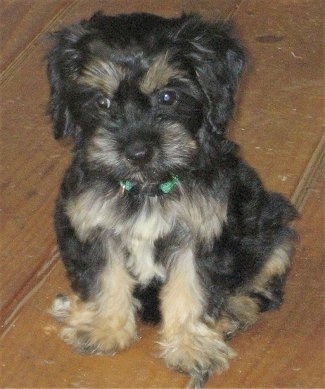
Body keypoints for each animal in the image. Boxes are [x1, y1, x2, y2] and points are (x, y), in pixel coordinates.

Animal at [47, 12, 296, 388]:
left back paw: (235, 310)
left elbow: (190, 289)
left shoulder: (201, 233)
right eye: (102, 102)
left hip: (272, 225)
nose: (138, 152)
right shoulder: (92, 225)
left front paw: (190, 346)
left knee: (264, 280)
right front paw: (105, 329)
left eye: (168, 97)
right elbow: (106, 278)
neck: (147, 187)